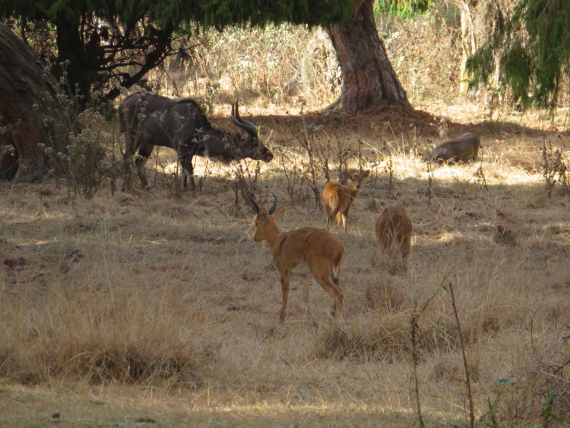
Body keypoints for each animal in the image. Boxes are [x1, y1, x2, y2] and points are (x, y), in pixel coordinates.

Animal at [116, 92, 272, 189]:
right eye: (255, 143)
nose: (269, 155)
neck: (199, 128)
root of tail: (121, 104)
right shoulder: (182, 149)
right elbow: (189, 171)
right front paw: (191, 190)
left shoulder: (188, 153)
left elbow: (185, 172)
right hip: (133, 136)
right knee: (126, 158)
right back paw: (125, 187)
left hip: (147, 142)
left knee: (138, 160)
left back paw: (146, 187)